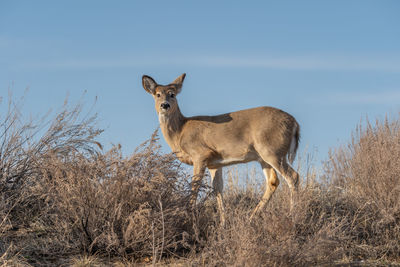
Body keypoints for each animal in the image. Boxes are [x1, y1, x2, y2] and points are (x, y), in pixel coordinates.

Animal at [142, 74, 298, 226]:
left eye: (172, 94)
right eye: (157, 94)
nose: (165, 105)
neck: (180, 132)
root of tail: (295, 123)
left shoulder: (200, 154)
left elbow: (195, 186)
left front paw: (187, 217)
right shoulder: (214, 163)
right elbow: (217, 189)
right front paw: (223, 224)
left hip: (272, 151)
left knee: (293, 176)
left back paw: (292, 216)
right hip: (263, 157)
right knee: (273, 181)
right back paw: (251, 218)